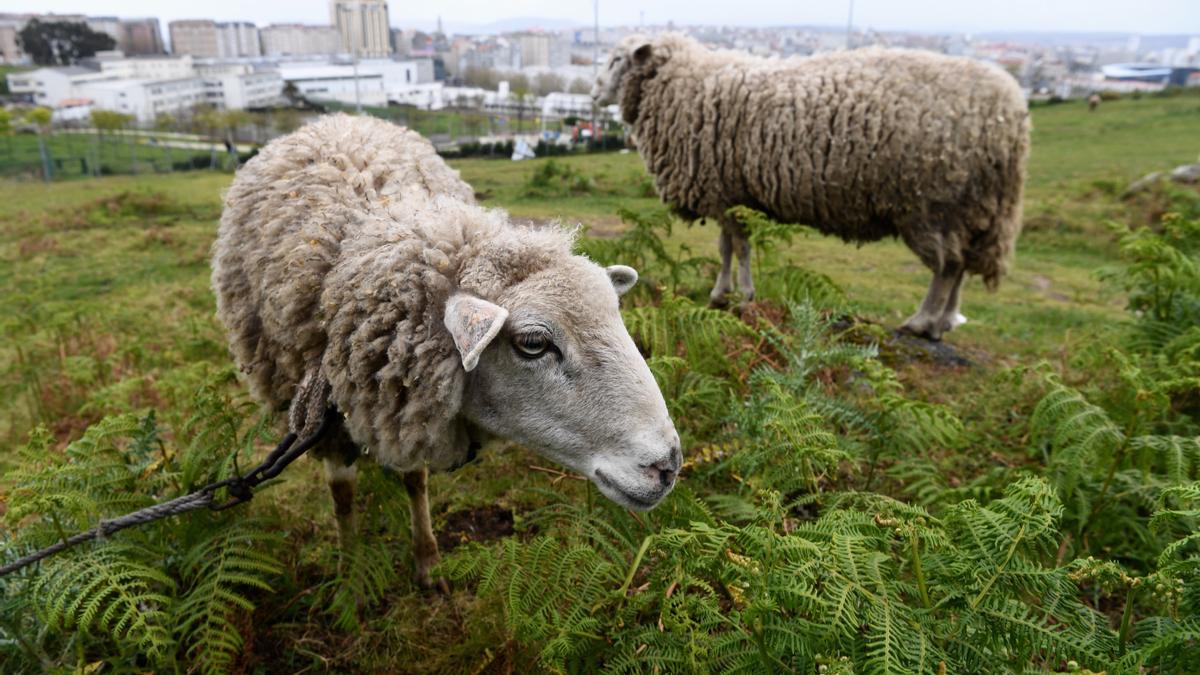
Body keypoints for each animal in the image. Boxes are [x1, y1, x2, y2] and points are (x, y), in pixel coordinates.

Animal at [211, 114, 681, 583]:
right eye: (533, 343)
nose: (668, 466)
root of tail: (334, 118)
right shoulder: (338, 423)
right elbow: (342, 495)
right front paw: (349, 574)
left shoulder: (408, 399)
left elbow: (415, 479)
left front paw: (427, 560)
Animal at [590, 34, 1032, 338]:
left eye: (617, 60)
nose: (593, 92)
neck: (683, 87)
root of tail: (1011, 112)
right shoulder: (732, 194)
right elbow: (728, 247)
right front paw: (725, 292)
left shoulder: (728, 194)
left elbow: (738, 248)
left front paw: (738, 295)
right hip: (973, 207)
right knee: (963, 265)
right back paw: (945, 322)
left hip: (933, 203)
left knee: (947, 266)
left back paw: (922, 322)